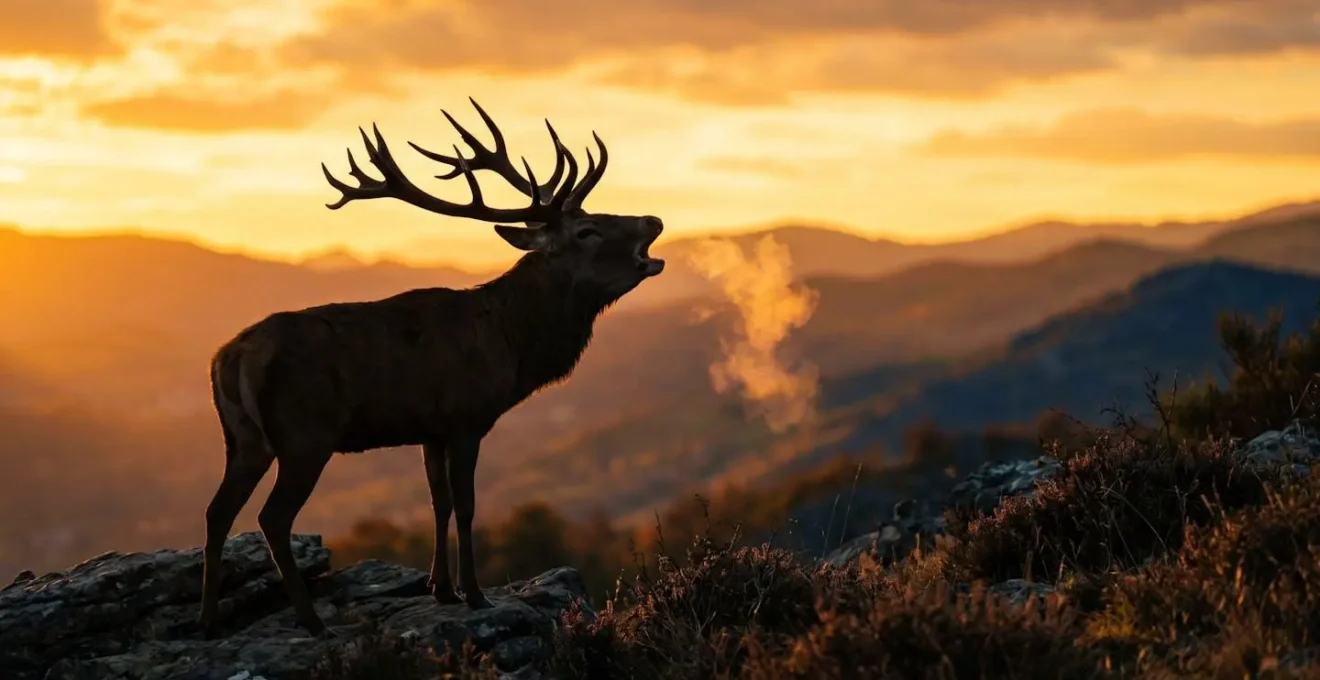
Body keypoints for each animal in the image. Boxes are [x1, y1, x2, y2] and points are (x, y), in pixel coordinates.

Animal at [197, 98, 666, 637]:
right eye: (588, 230)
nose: (653, 219)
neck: (514, 344)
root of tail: (228, 358)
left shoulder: (430, 428)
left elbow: (437, 501)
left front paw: (441, 588)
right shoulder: (467, 418)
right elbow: (465, 504)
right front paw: (476, 595)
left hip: (244, 439)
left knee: (216, 511)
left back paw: (208, 620)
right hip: (304, 434)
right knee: (272, 517)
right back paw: (311, 621)